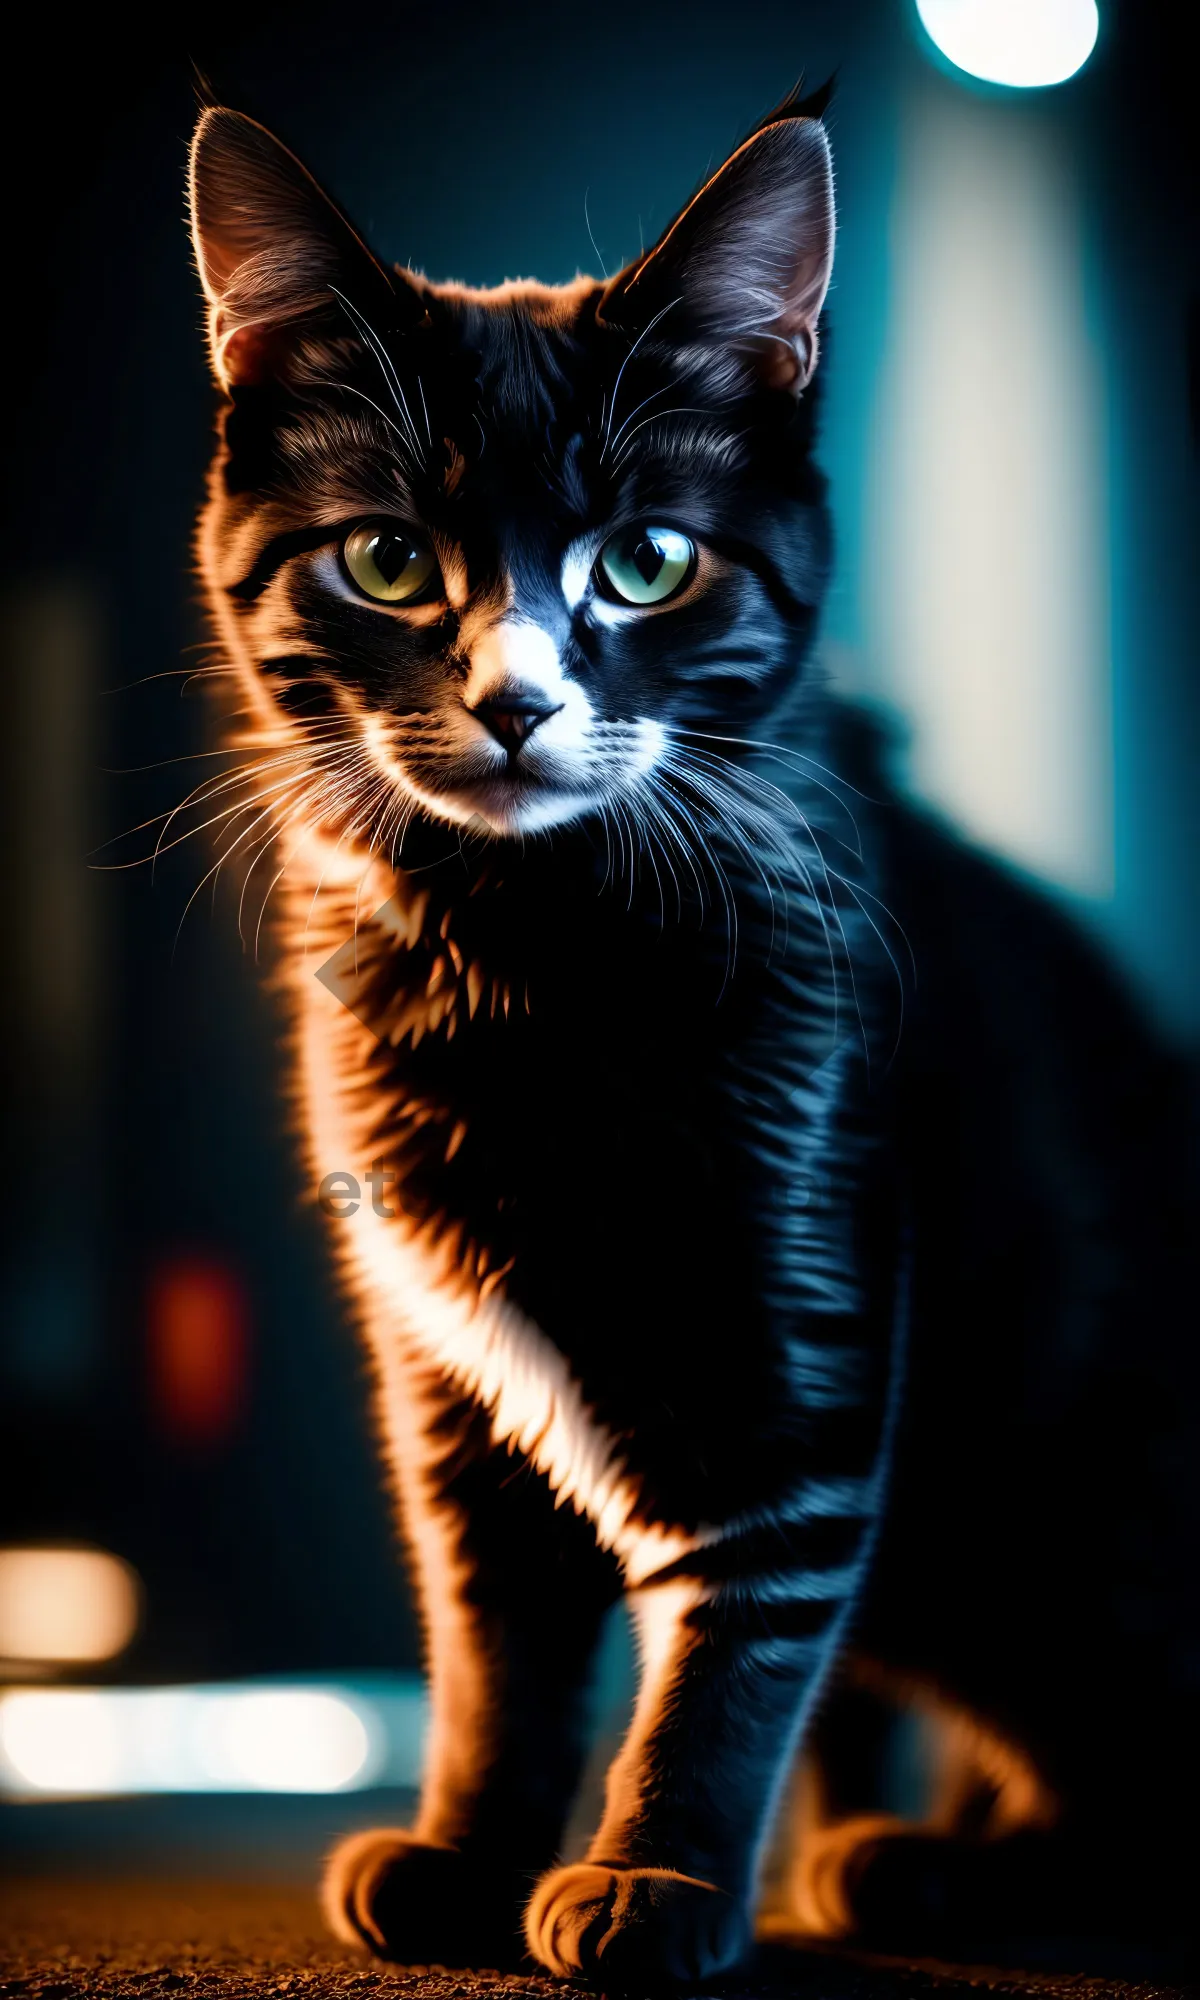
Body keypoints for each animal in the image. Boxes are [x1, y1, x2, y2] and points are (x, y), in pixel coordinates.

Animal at [183, 86, 1192, 1976]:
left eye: (647, 561)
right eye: (386, 560)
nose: (514, 700)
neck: (524, 959)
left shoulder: (799, 1293)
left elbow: (745, 1616)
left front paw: (657, 1876)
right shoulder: (443, 1364)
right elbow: (493, 1635)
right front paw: (466, 1847)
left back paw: (924, 1867)